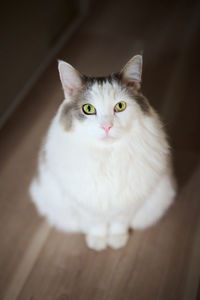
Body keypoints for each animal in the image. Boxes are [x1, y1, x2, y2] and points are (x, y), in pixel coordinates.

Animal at [28, 54, 176, 251]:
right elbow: (96, 224)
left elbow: (119, 223)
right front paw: (97, 241)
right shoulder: (83, 204)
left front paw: (116, 239)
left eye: (120, 106)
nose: (106, 126)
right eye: (88, 109)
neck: (107, 156)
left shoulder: (129, 201)